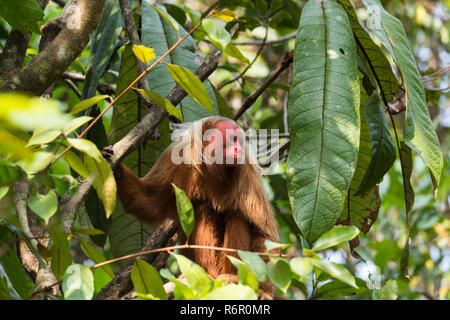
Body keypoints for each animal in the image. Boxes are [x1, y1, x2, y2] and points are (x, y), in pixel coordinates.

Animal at [103, 117, 280, 290]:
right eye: (232, 139)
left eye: (240, 142)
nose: (239, 149)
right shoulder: (176, 157)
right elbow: (151, 202)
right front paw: (116, 170)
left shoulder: (246, 172)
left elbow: (264, 233)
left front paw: (265, 289)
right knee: (201, 209)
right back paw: (207, 272)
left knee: (237, 217)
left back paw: (230, 276)